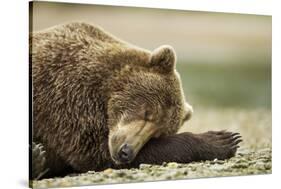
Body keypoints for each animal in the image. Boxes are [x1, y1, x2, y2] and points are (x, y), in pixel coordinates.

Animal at [30, 22, 241, 180]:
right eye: (147, 112)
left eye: (157, 133)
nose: (126, 151)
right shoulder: (67, 97)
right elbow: (92, 150)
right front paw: (222, 139)